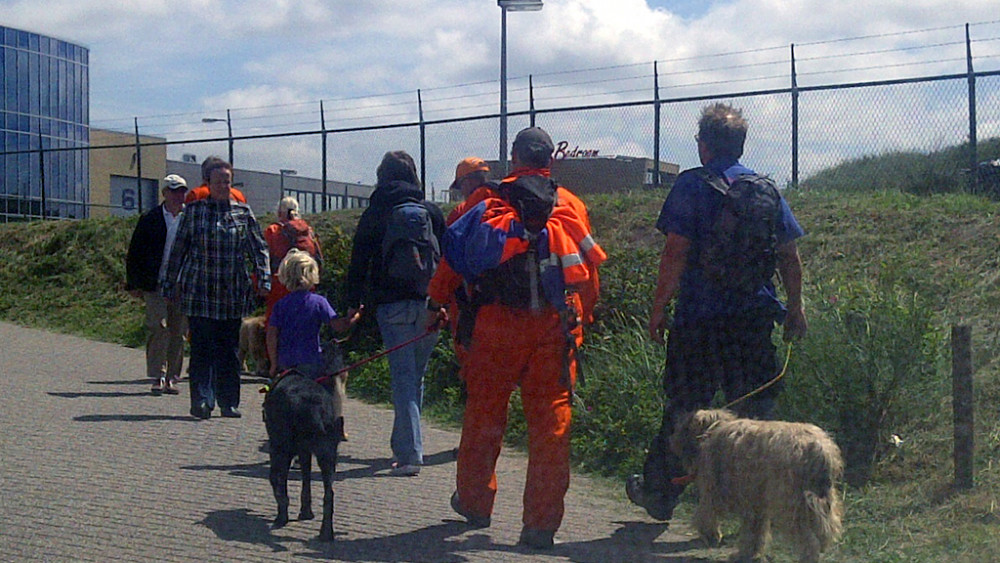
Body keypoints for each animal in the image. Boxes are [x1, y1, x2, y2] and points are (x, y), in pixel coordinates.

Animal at [262, 370, 344, 540]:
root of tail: (316, 409)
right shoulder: (305, 452)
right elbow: (306, 484)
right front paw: (306, 512)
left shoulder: (279, 450)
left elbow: (277, 482)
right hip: (327, 456)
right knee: (329, 495)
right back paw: (326, 533)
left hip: (283, 449)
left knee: (279, 483)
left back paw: (281, 517)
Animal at [672, 410, 844, 563]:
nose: (672, 440)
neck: (712, 429)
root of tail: (818, 450)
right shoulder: (755, 501)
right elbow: (755, 531)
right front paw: (749, 553)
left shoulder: (714, 490)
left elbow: (706, 513)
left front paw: (711, 535)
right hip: (818, 499)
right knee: (825, 528)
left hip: (790, 502)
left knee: (809, 539)